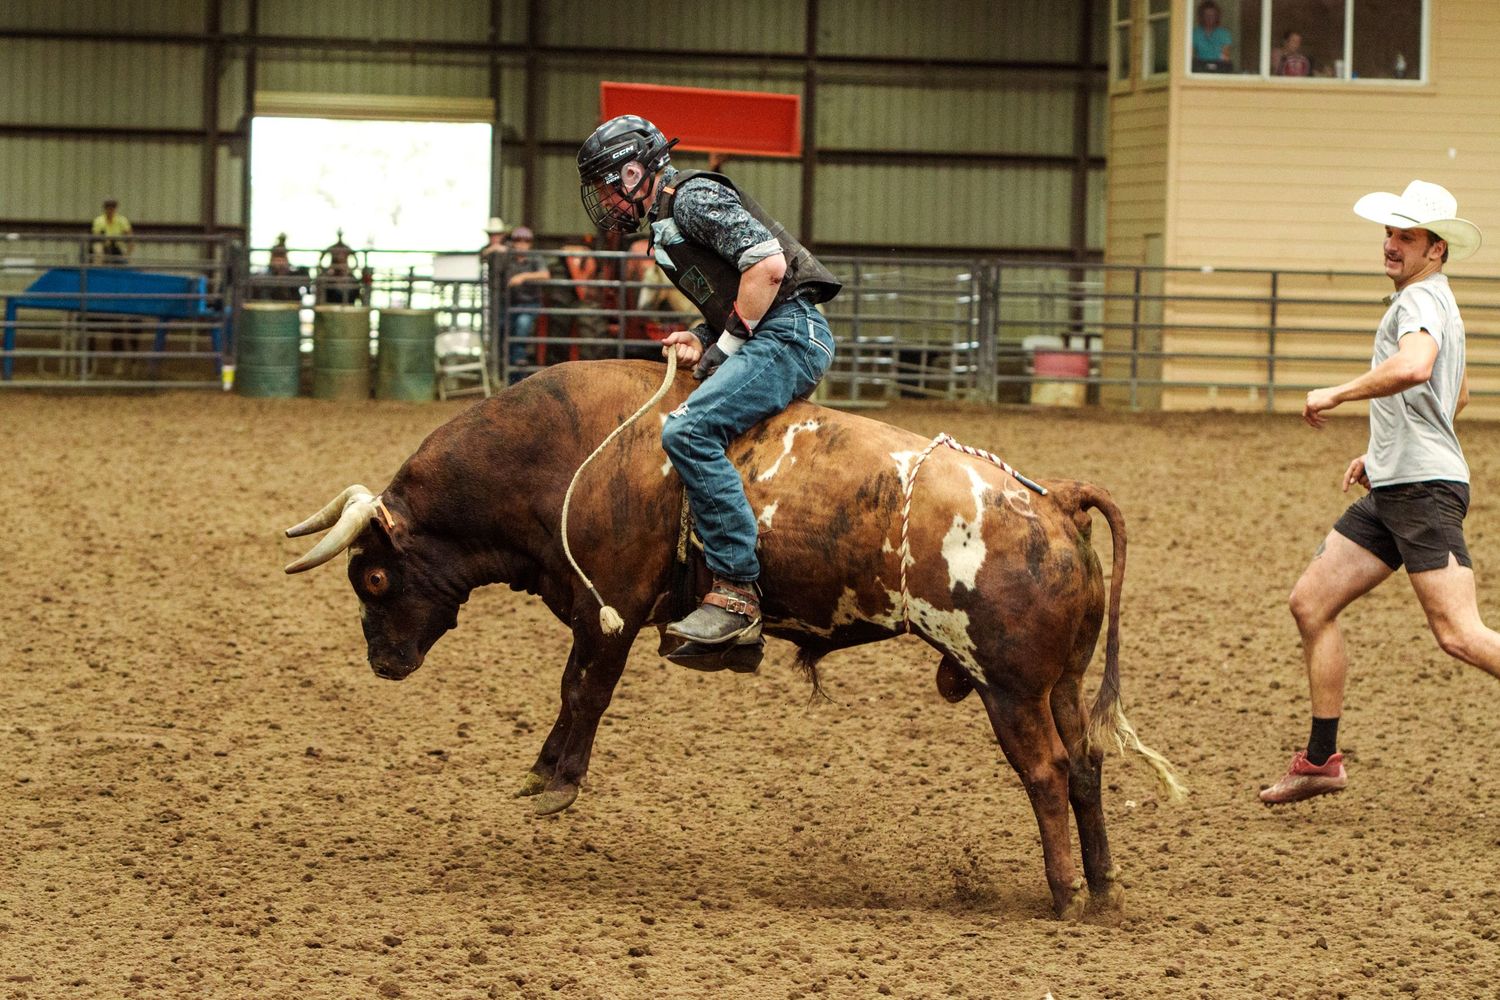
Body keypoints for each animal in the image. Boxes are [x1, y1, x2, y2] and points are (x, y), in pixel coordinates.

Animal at [284, 360, 1183, 920]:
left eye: (372, 579)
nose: (382, 661)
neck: (567, 450)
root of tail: (1055, 497)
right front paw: (542, 775)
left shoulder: (610, 609)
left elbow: (583, 689)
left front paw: (554, 782)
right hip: (1060, 682)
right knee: (1087, 767)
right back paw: (1103, 891)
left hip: (1009, 686)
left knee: (1048, 773)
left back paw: (1063, 895)